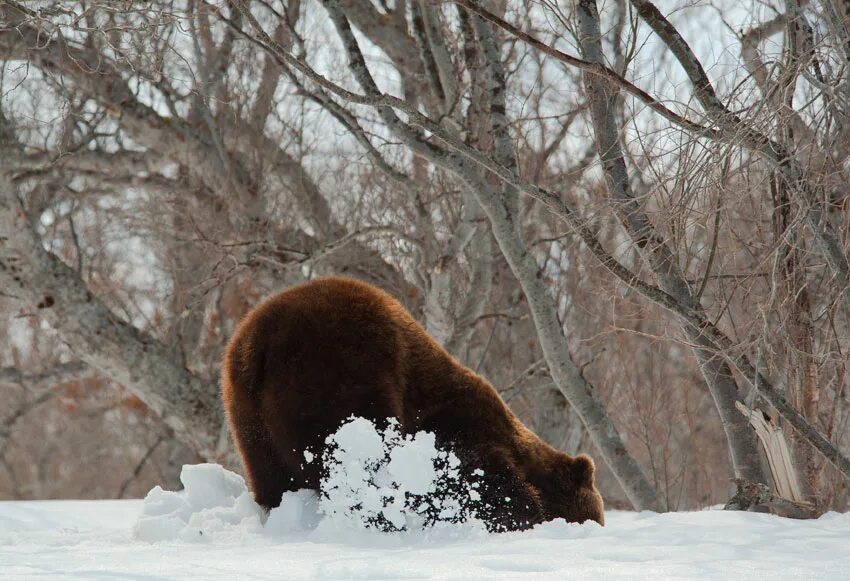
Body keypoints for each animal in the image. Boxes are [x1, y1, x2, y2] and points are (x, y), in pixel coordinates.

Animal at [222, 276, 600, 532]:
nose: (597, 524)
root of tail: (259, 340)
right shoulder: (454, 426)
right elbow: (477, 479)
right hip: (338, 372)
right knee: (354, 463)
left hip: (247, 414)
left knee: (272, 476)